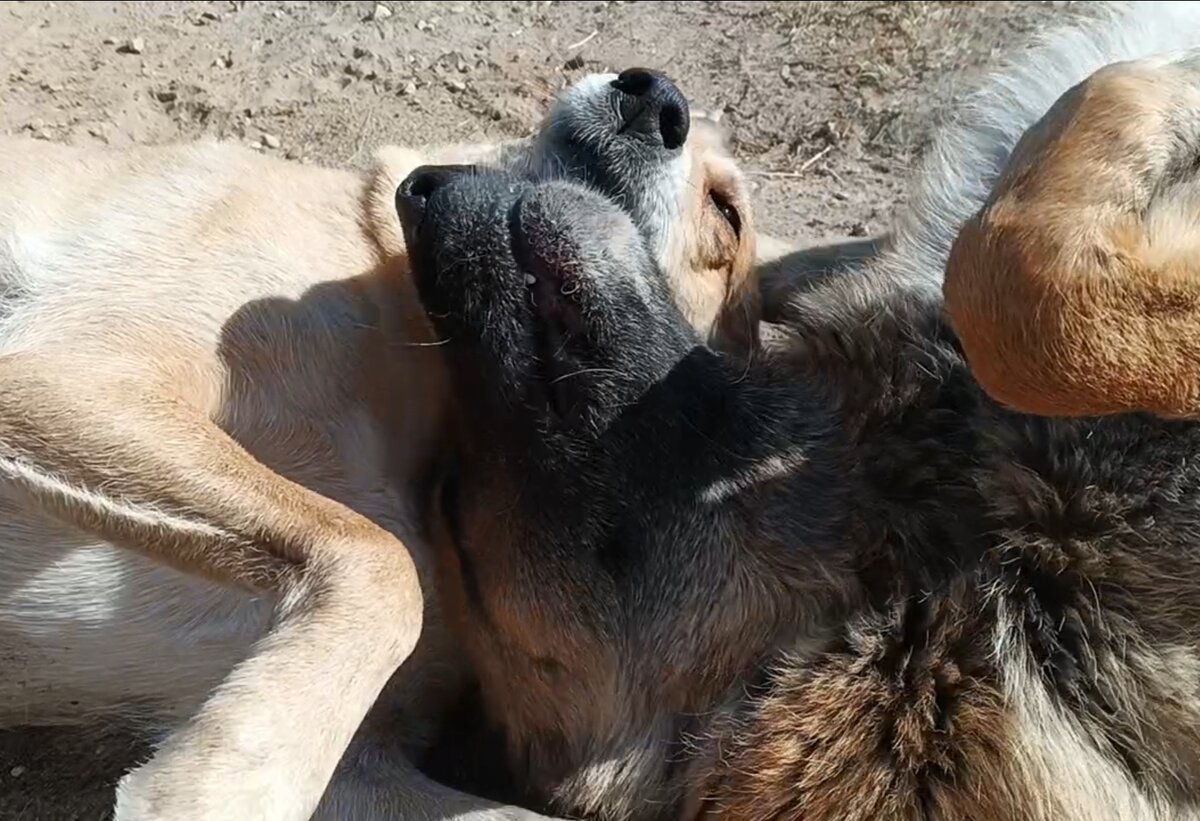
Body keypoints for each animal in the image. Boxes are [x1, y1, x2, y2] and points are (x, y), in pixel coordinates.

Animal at [0, 70, 753, 820]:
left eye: (726, 213)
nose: (653, 97)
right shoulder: (71, 369)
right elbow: (382, 560)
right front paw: (229, 782)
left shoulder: (360, 770)